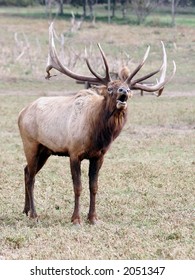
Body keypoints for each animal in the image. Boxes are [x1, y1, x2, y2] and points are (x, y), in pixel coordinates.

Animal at [18, 23, 176, 225]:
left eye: (129, 89)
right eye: (110, 88)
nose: (123, 91)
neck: (98, 135)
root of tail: (21, 113)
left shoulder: (99, 156)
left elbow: (94, 186)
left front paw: (93, 218)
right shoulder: (74, 152)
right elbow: (77, 186)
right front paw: (76, 218)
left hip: (46, 150)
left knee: (26, 171)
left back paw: (25, 209)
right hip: (30, 143)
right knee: (31, 176)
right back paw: (34, 214)